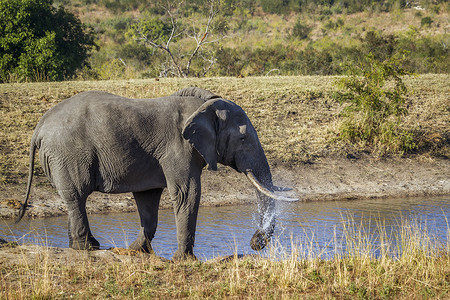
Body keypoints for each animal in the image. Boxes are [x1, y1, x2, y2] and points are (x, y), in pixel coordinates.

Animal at [17, 87, 298, 260]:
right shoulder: (179, 148)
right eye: (242, 139)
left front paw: (136, 251)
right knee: (77, 198)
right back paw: (89, 247)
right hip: (67, 154)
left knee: (73, 200)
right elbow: (187, 194)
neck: (204, 106)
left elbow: (149, 199)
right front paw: (184, 260)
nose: (255, 243)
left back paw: (81, 248)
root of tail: (38, 128)